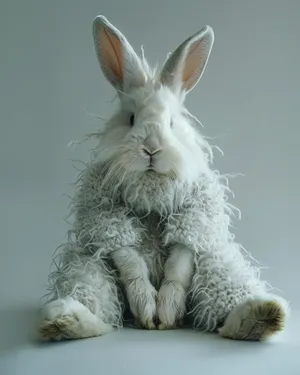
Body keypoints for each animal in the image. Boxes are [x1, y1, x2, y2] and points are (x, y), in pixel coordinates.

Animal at [37, 16, 288, 342]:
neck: (151, 186)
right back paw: (65, 320)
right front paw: (147, 306)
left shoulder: (197, 205)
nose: (151, 149)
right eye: (131, 118)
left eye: (171, 122)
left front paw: (167, 311)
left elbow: (181, 259)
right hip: (86, 262)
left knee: (220, 278)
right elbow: (127, 258)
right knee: (91, 284)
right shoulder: (102, 205)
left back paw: (259, 316)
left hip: (218, 261)